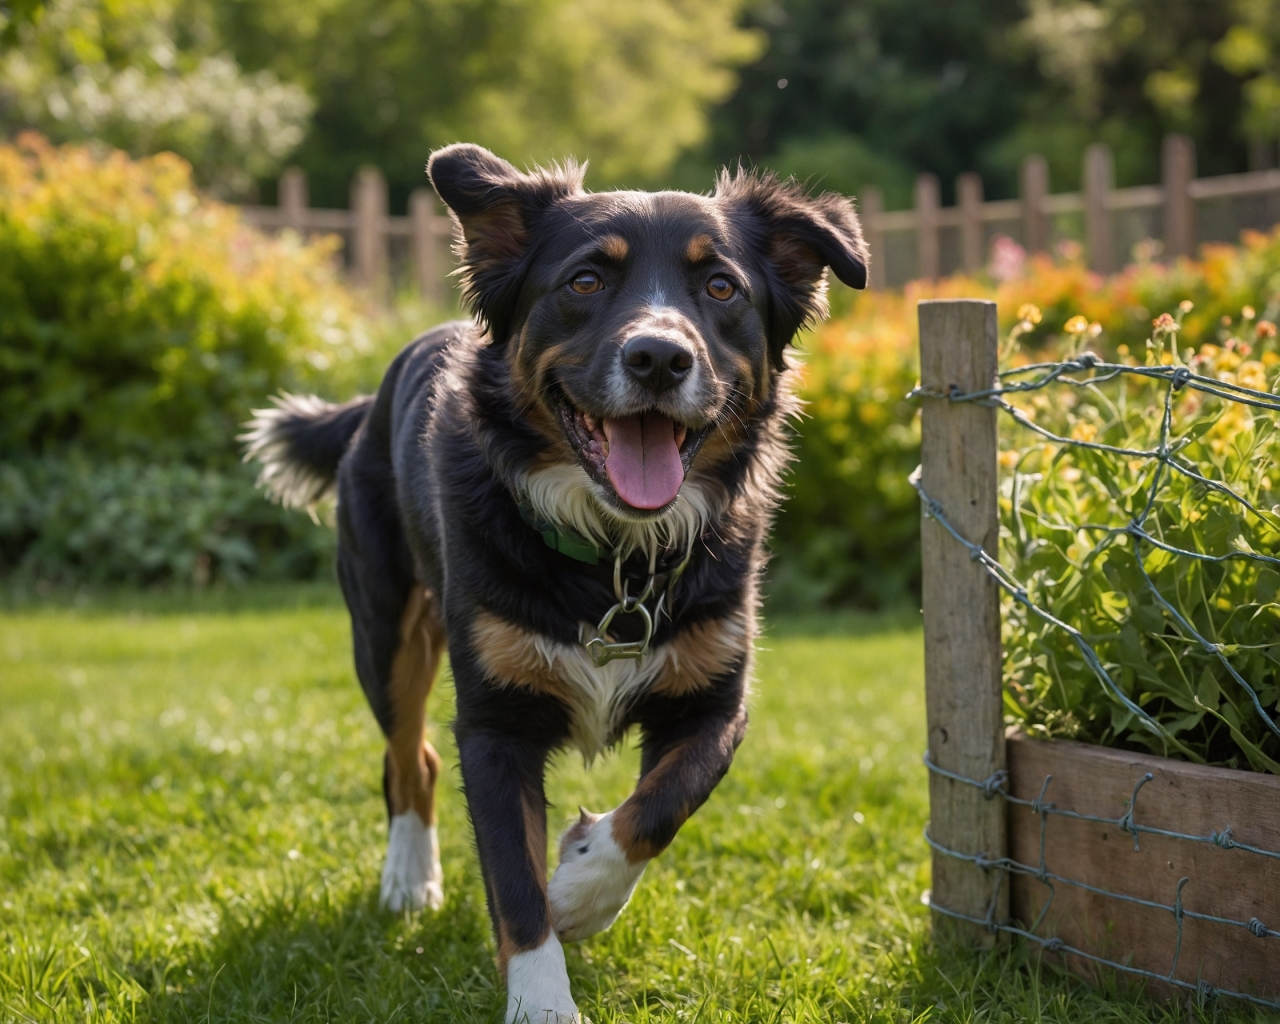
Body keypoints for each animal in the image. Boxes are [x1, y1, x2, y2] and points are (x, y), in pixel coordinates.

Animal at [244, 145, 865, 1024]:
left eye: (721, 288)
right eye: (585, 281)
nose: (659, 358)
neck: (614, 553)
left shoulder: (716, 702)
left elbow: (660, 808)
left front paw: (580, 886)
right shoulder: (495, 724)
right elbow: (514, 885)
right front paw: (542, 993)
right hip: (384, 631)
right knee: (408, 756)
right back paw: (408, 878)